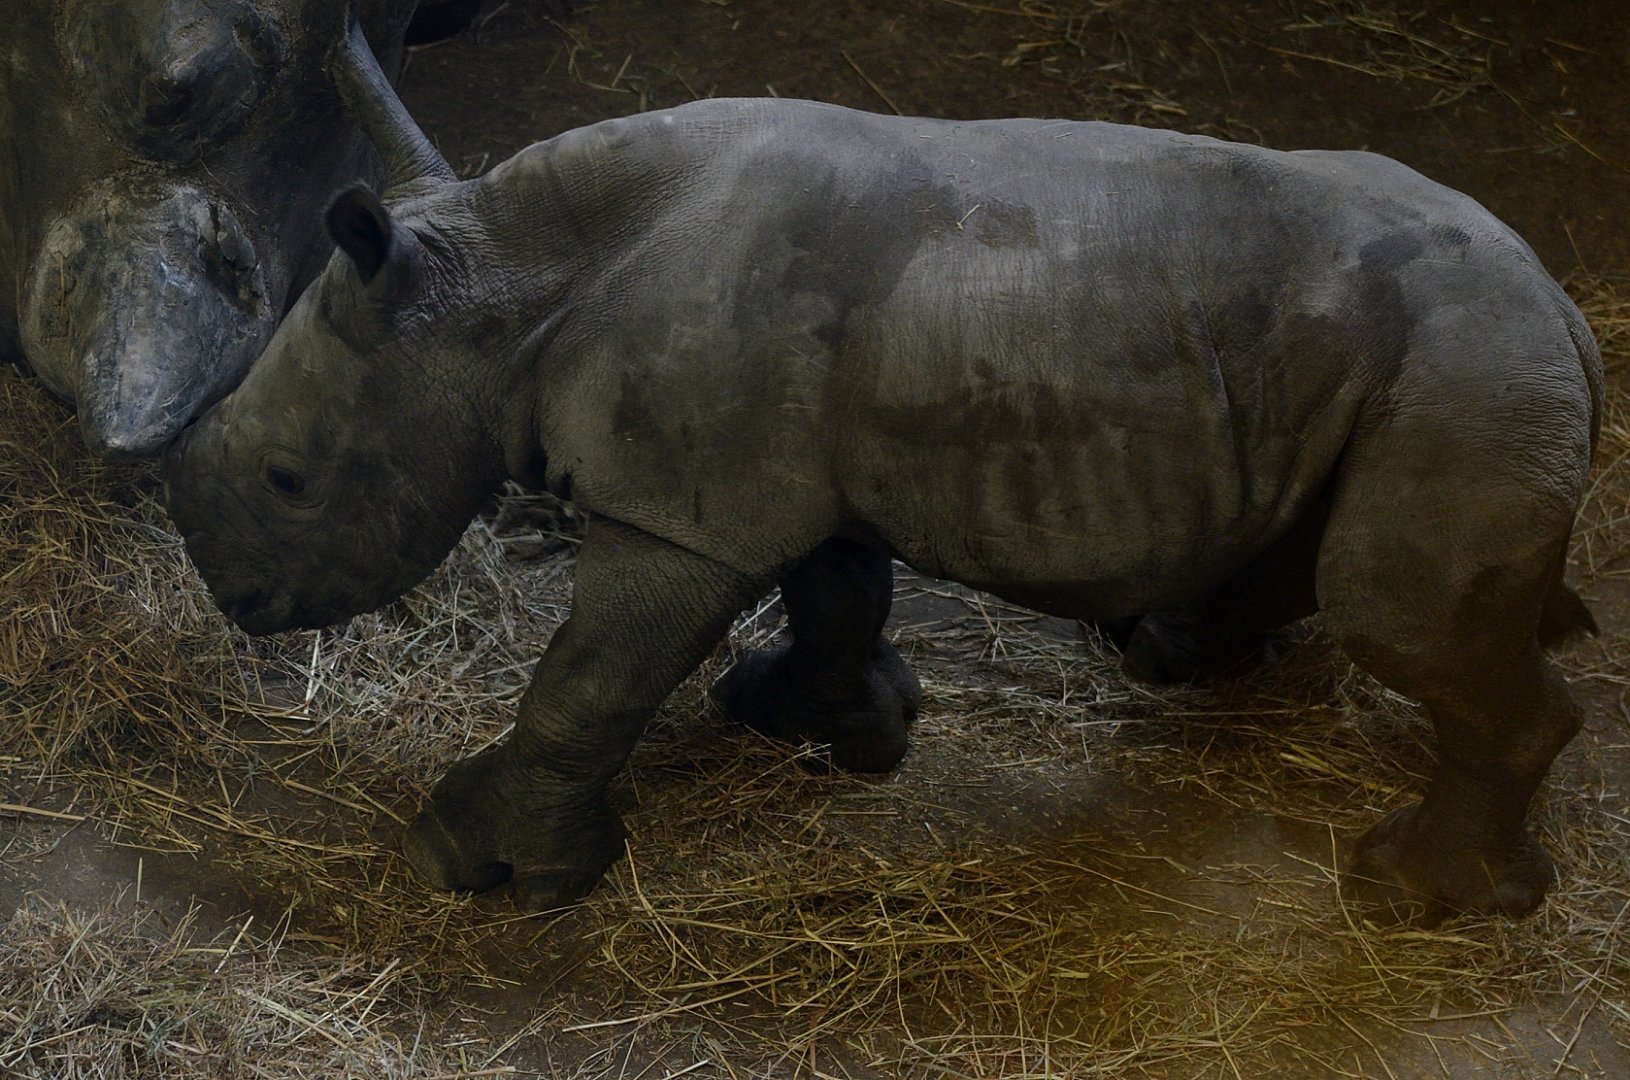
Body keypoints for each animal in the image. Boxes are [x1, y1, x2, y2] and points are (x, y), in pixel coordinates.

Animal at [165, 17, 1603, 927]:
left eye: (290, 478)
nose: (234, 600)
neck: (499, 283)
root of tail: (1567, 310)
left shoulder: (682, 513)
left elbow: (586, 679)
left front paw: (477, 865)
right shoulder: (785, 461)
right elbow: (837, 592)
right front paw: (821, 725)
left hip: (1468, 373)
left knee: (1396, 614)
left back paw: (1412, 894)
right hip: (1420, 365)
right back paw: (1171, 652)